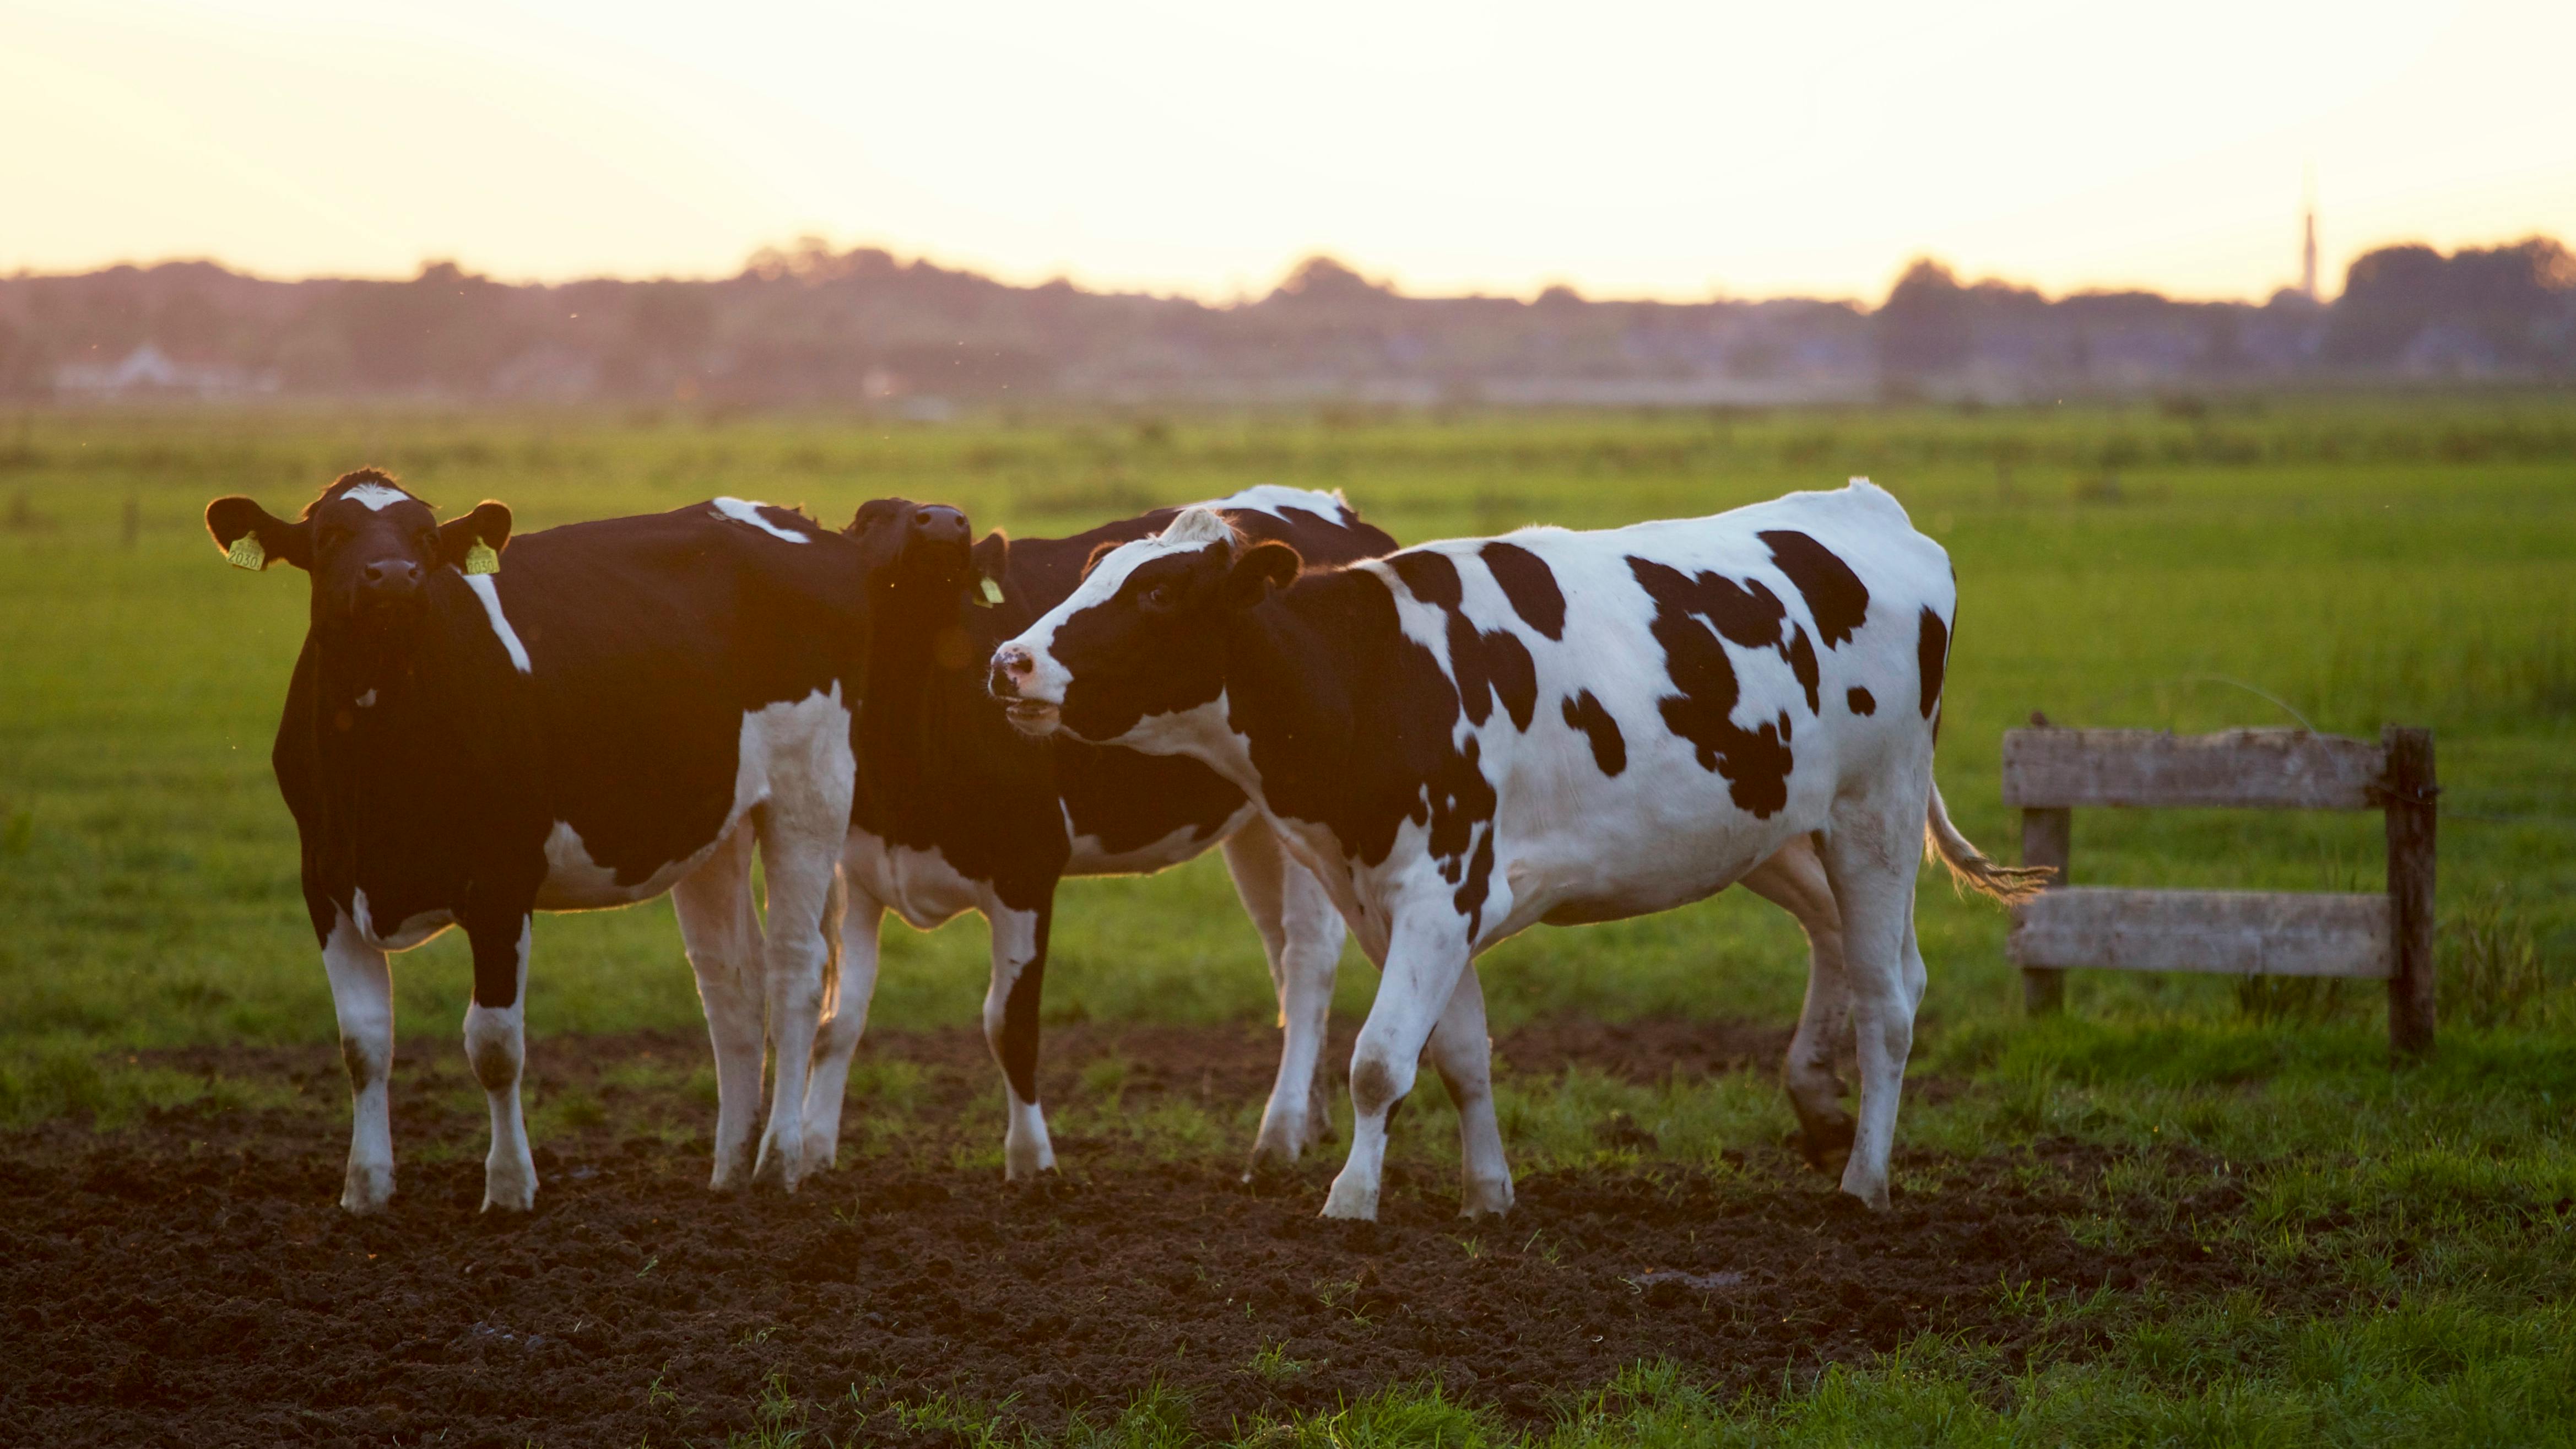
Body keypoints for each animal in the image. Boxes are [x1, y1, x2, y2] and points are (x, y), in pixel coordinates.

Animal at [203, 472, 886, 1207]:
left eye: (425, 537)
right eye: (330, 534)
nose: (394, 576)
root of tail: (794, 518)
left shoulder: (502, 882)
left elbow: (494, 1045)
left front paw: (508, 1186)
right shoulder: (325, 882)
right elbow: (363, 1042)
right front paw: (366, 1187)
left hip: (810, 789)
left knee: (796, 970)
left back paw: (779, 1159)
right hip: (717, 821)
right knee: (732, 981)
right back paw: (729, 1167)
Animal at [798, 484, 1401, 1175]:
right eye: (869, 517)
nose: (945, 522)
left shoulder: (1026, 867)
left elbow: (1010, 1024)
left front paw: (1031, 1163)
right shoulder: (859, 870)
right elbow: (837, 1020)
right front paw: (810, 1154)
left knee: (1306, 960)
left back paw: (1277, 1136)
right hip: (1258, 826)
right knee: (1279, 953)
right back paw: (1310, 1119)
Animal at [989, 479, 2050, 1212]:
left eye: (1160, 596)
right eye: (1091, 575)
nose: (1010, 661)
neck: (1375, 674)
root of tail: (1869, 509)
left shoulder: (1440, 887)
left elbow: (1379, 1060)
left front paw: (1351, 1199)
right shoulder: (1401, 900)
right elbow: (1458, 1053)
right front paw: (1487, 1193)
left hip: (1876, 813)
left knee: (1890, 997)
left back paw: (1865, 1179)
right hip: (1774, 827)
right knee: (1852, 947)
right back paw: (1820, 1107)